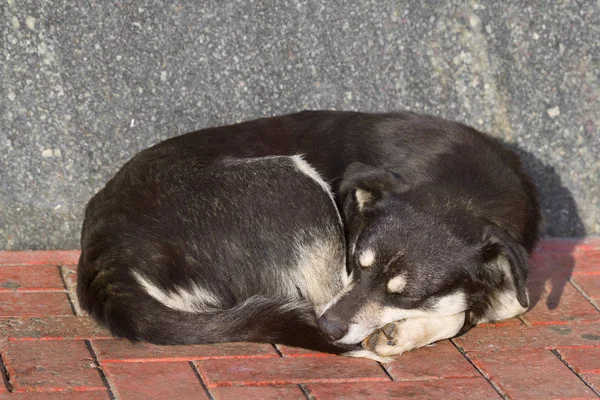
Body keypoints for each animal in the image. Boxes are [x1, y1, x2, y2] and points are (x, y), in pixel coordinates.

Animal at [75, 109, 540, 356]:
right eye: (356, 262)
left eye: (405, 295)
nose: (328, 328)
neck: (466, 184)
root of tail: (104, 244)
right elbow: (464, 311)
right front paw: (404, 332)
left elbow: (505, 303)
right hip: (295, 183)